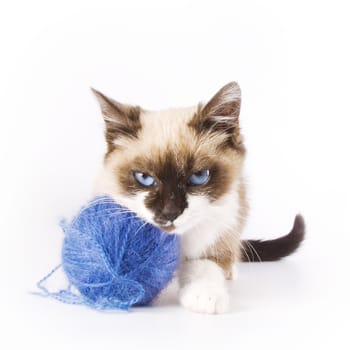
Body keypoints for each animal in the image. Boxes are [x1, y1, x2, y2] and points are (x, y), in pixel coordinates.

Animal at [92, 82, 304, 314]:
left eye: (199, 177)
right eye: (145, 178)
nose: (170, 213)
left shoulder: (214, 239)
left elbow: (205, 267)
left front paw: (205, 297)